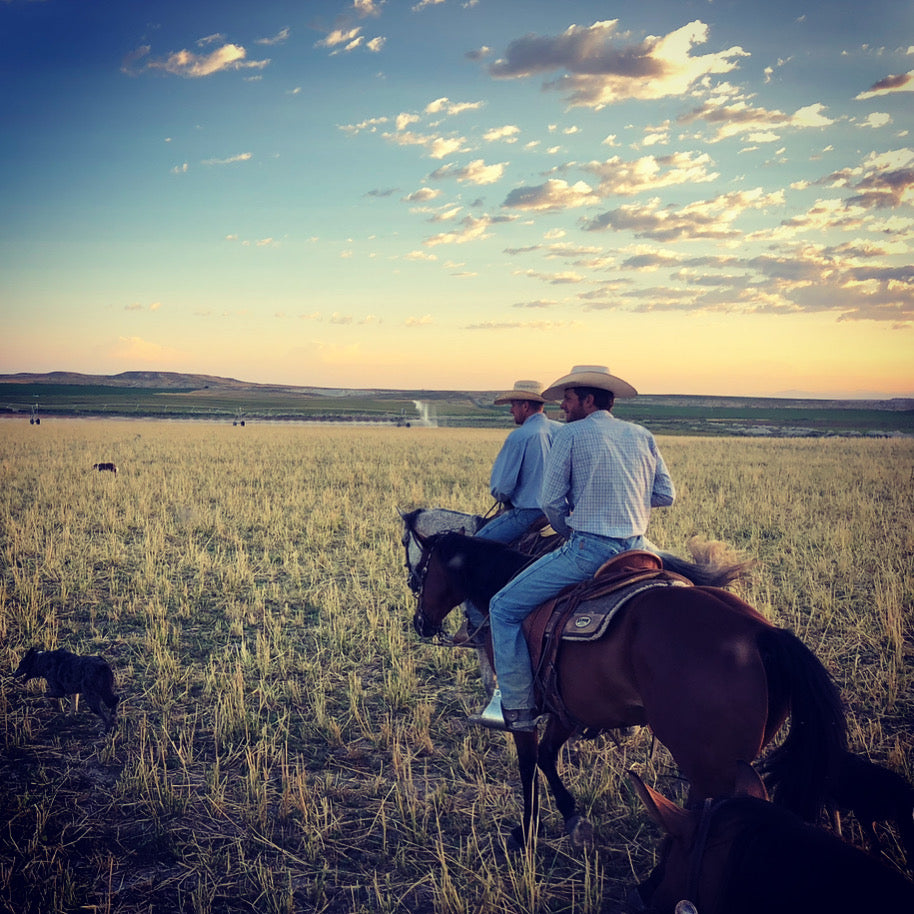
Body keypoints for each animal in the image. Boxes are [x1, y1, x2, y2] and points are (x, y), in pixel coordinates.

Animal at [402, 528, 844, 848]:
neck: (502, 582)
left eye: (420, 573)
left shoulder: (522, 704)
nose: (420, 622)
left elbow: (528, 763)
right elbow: (547, 757)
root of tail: (760, 632)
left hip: (710, 769)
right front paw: (572, 816)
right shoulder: (569, 708)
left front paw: (525, 831)